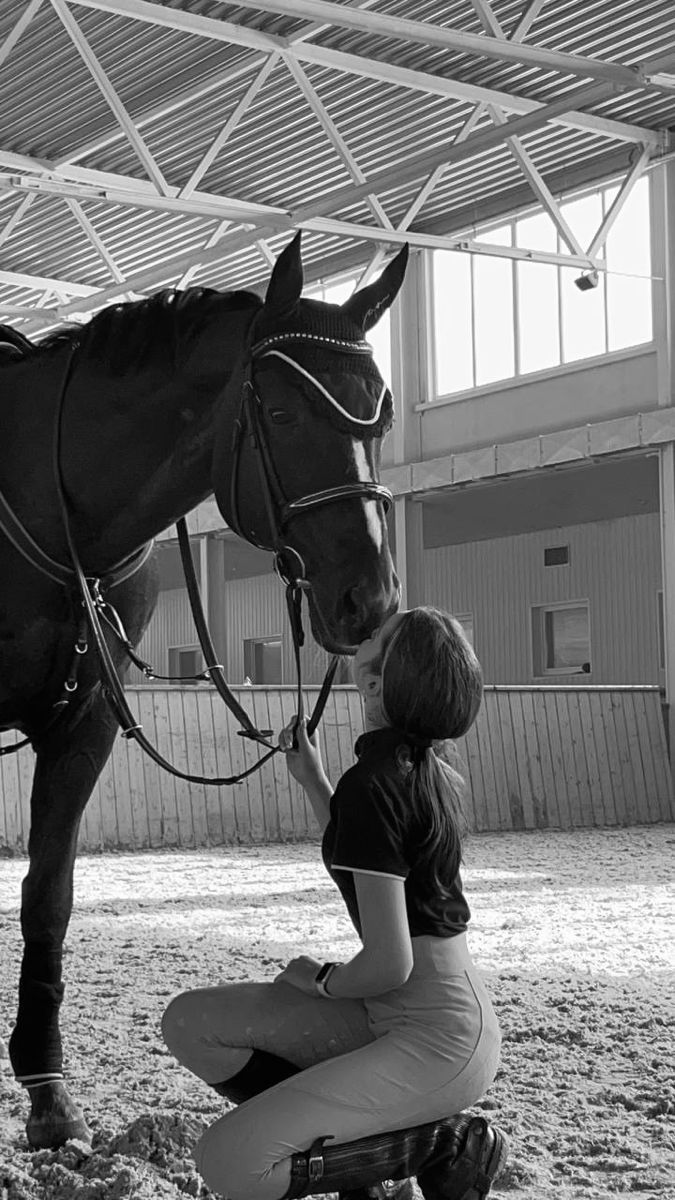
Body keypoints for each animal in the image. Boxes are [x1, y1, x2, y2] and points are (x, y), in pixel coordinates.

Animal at [0, 229, 403, 1147]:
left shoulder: (84, 725)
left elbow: (47, 897)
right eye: (281, 415)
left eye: (382, 411)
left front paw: (49, 1097)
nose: (368, 599)